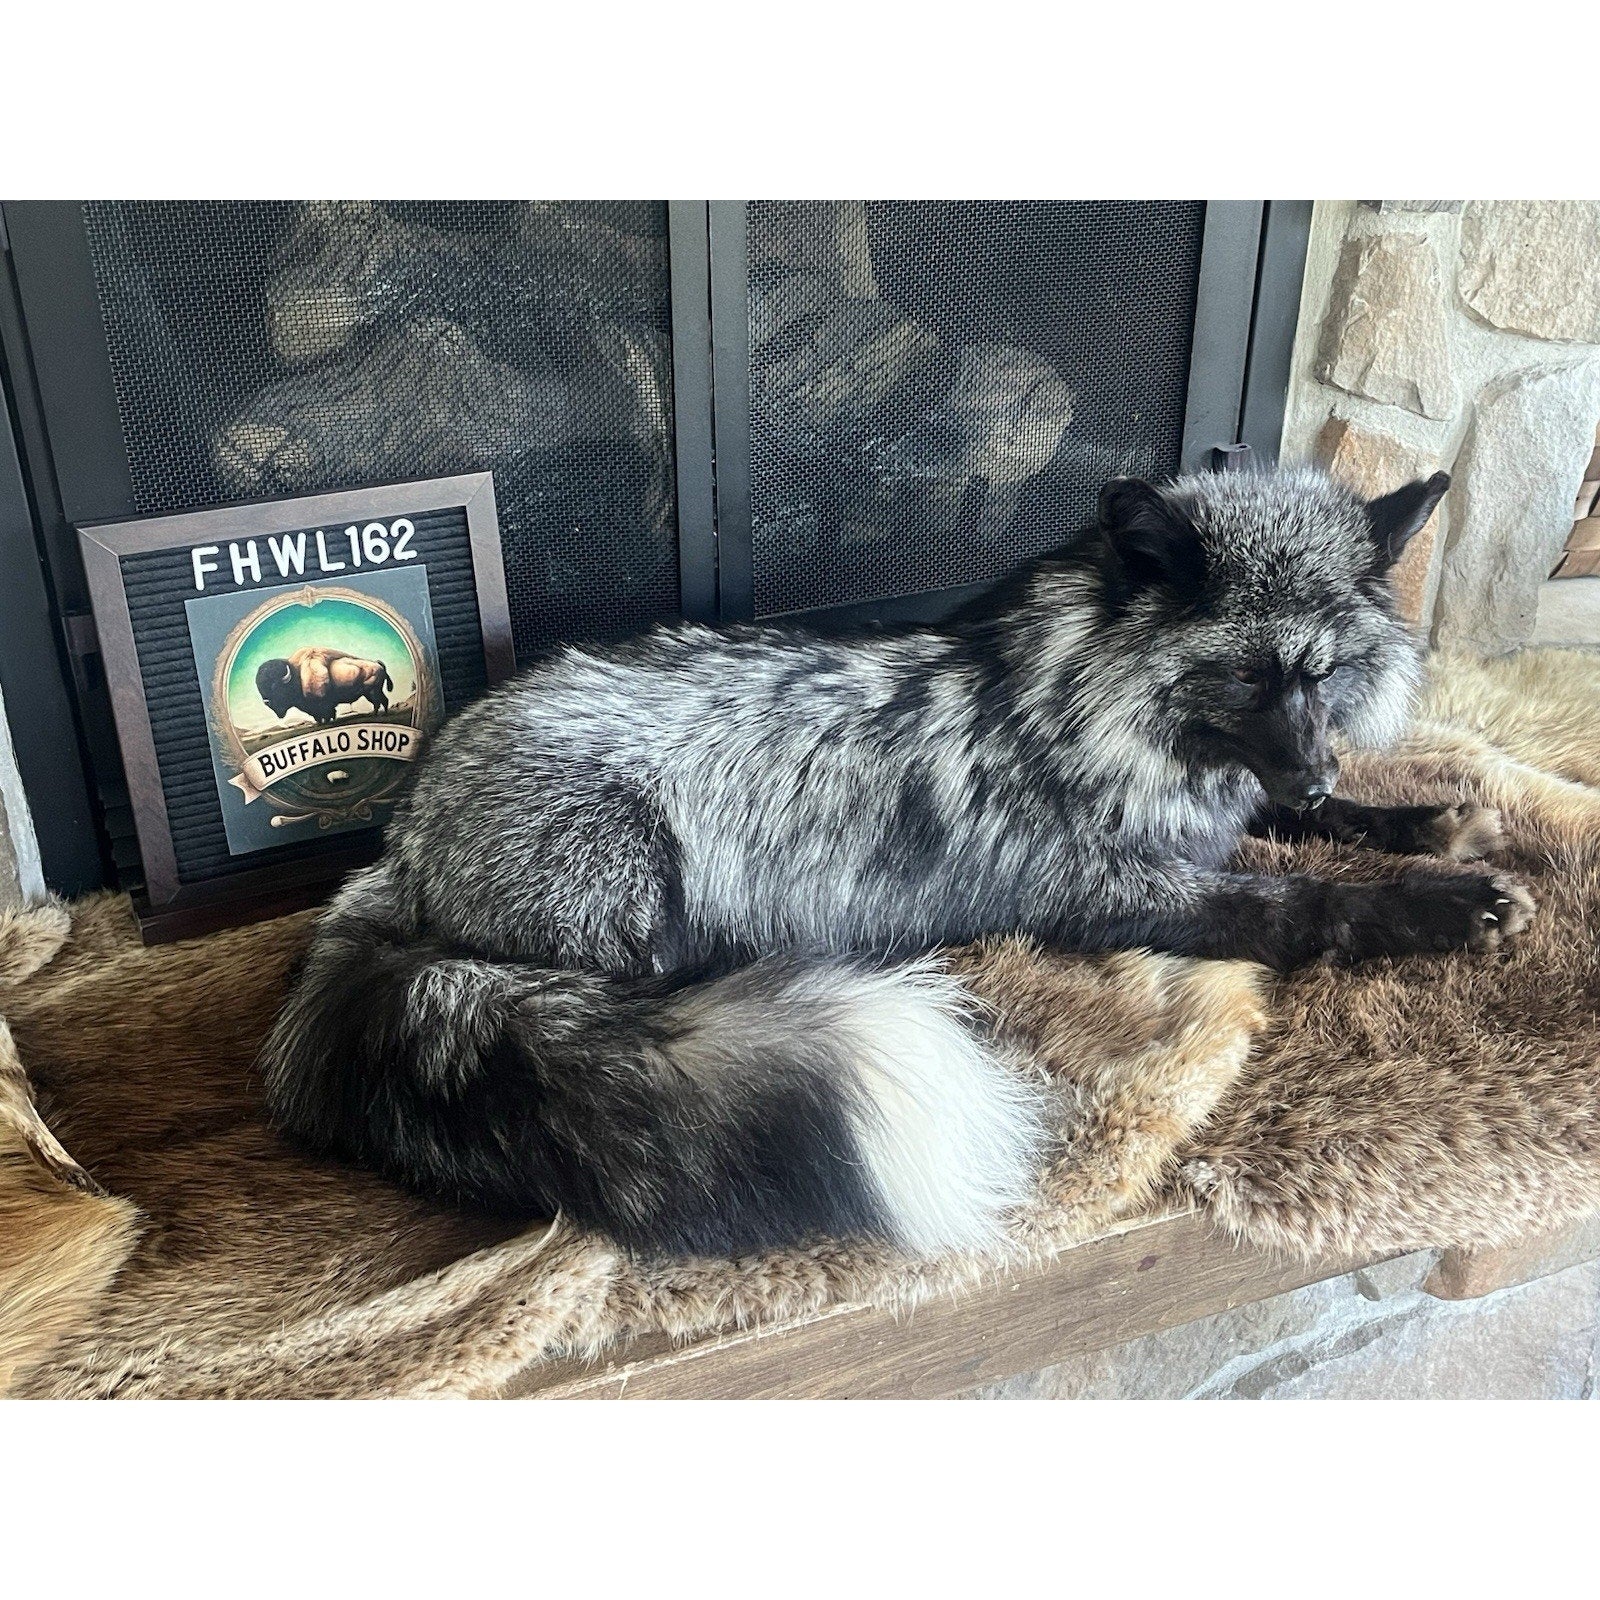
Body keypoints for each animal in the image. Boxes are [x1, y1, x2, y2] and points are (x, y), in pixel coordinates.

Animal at [261, 466, 1536, 1260]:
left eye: (1324, 674)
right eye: (1246, 673)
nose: (1315, 772)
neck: (1076, 703)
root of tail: (403, 831)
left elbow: (1319, 831)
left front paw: (1419, 822)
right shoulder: (1111, 893)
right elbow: (1297, 899)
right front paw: (1436, 902)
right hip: (629, 891)